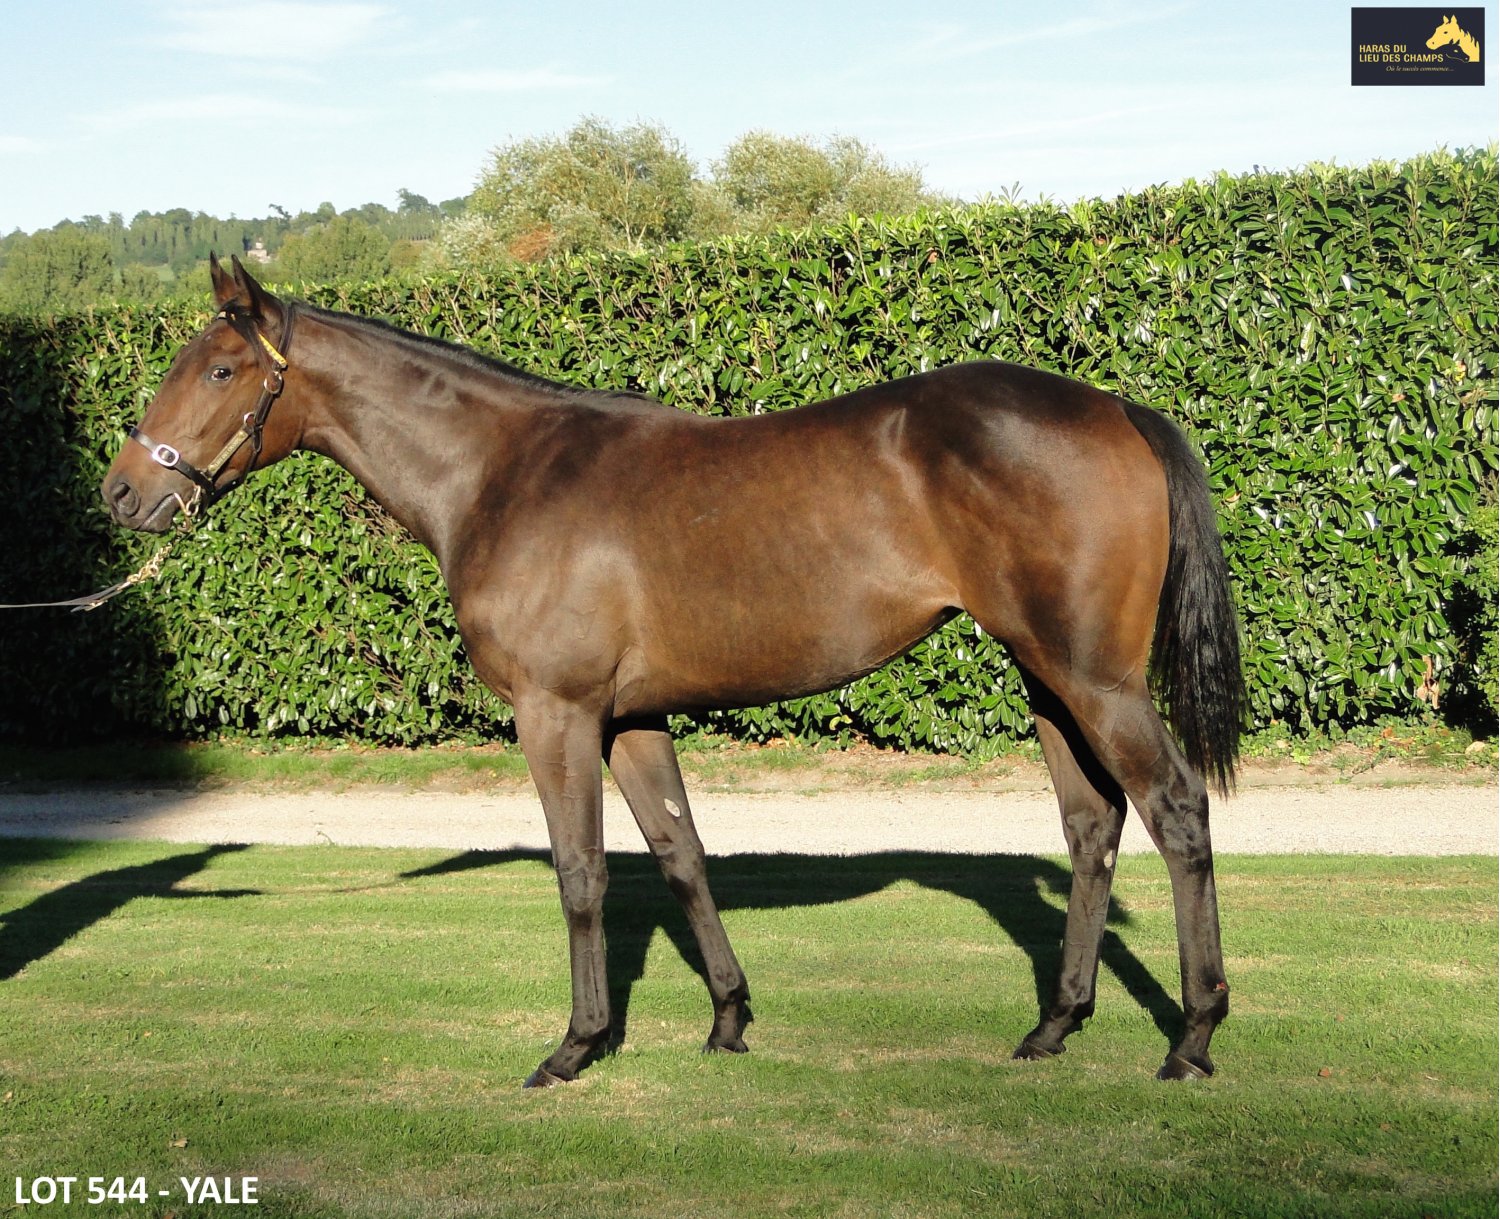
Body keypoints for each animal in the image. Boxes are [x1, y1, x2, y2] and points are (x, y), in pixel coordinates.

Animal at [102, 255, 1243, 1088]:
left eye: (218, 372)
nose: (122, 493)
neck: (501, 474)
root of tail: (1115, 407)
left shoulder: (557, 715)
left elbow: (582, 872)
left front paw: (576, 1045)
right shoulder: (631, 720)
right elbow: (680, 852)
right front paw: (728, 1019)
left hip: (1095, 680)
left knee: (1176, 812)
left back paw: (1192, 1037)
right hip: (1047, 677)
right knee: (1093, 825)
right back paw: (1056, 1025)